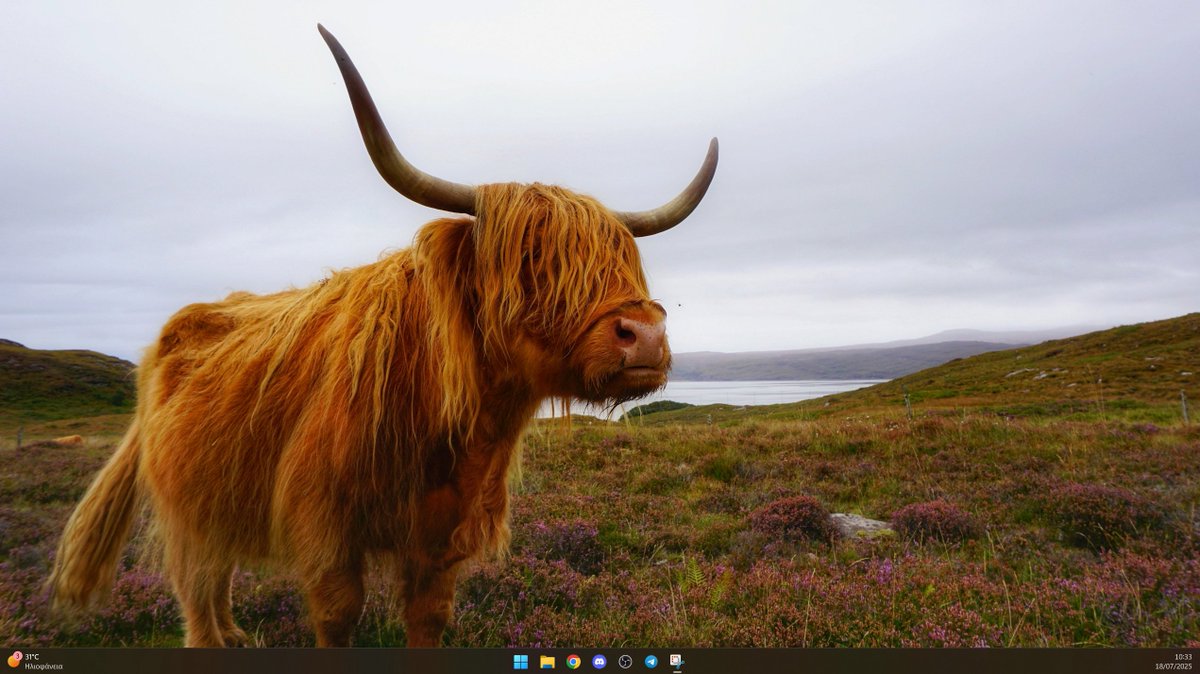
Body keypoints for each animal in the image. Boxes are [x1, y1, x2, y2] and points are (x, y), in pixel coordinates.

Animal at [48, 25, 717, 647]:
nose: (645, 335)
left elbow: (429, 618)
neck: (450, 432)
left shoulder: (441, 543)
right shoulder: (326, 533)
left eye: (626, 260)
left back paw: (236, 634)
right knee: (194, 579)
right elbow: (338, 616)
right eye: (529, 257)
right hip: (186, 501)